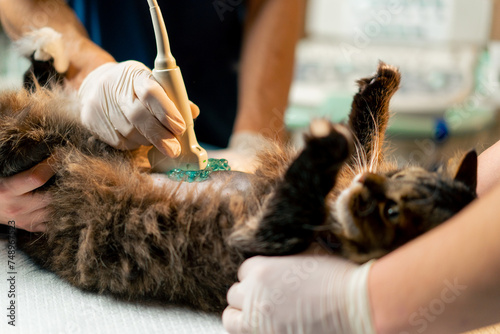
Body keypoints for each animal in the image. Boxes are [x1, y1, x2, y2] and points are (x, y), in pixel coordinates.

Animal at [0, 60, 476, 314]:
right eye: (395, 180)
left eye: (391, 213)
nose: (369, 185)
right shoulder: (355, 169)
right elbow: (367, 134)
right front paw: (381, 85)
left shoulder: (256, 236)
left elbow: (311, 180)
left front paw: (324, 144)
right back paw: (45, 64)